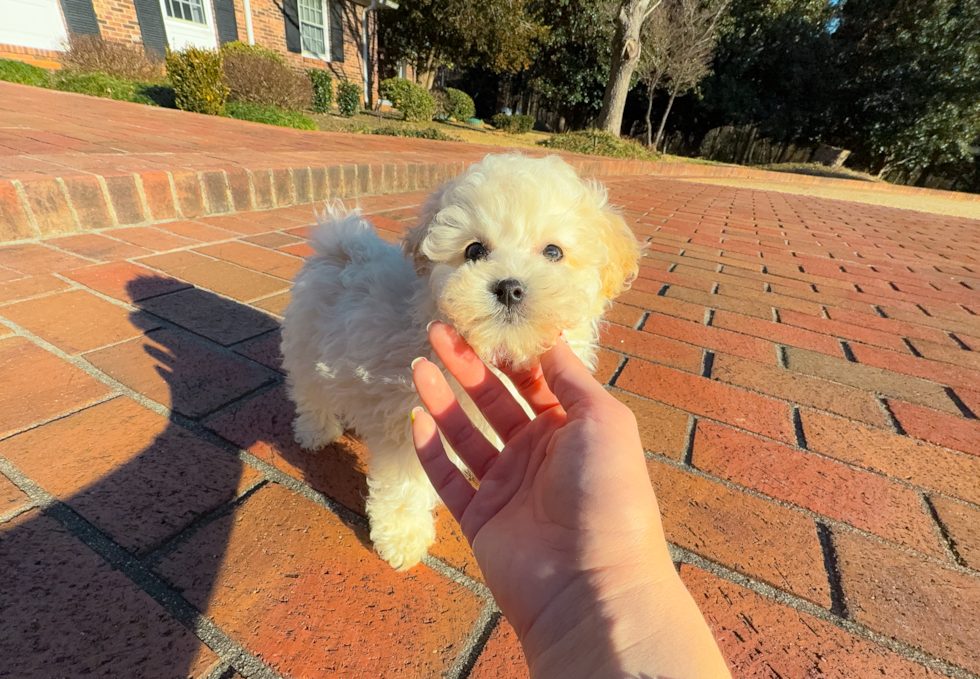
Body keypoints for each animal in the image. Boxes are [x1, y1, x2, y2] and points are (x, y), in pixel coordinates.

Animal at [280, 153, 644, 568]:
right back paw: (316, 432)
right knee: (310, 393)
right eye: (473, 251)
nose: (509, 288)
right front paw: (402, 539)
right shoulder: (409, 420)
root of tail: (342, 246)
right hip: (306, 345)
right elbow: (405, 480)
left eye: (554, 252)